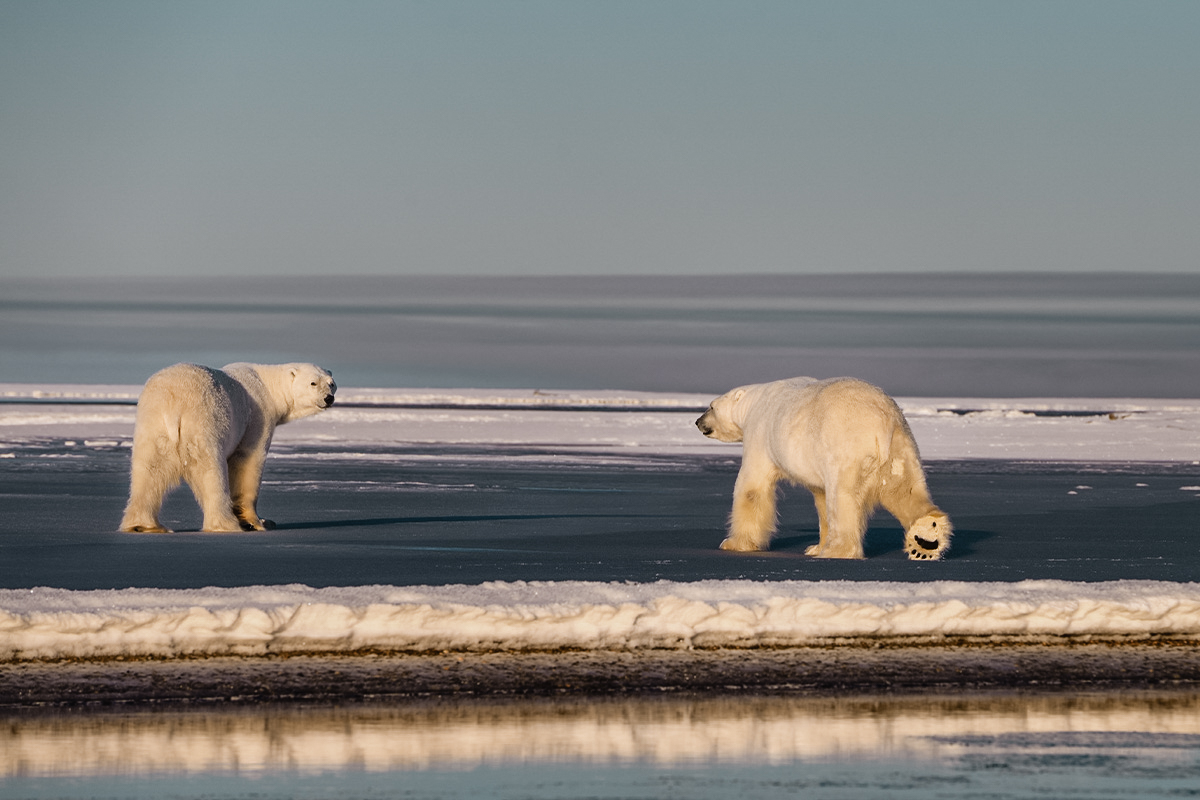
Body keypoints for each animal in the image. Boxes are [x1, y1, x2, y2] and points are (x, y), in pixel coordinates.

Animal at [120, 362, 336, 532]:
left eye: (331, 383)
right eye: (313, 383)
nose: (329, 398)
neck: (267, 385)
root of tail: (174, 406)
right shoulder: (256, 418)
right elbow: (248, 460)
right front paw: (255, 522)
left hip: (153, 424)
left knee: (148, 471)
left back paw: (144, 525)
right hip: (203, 421)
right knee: (211, 471)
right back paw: (226, 524)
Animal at [700, 379, 950, 561]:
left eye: (711, 406)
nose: (698, 421)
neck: (752, 403)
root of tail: (882, 421)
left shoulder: (760, 435)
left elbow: (752, 488)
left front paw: (733, 543)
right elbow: (820, 498)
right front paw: (814, 546)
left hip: (846, 452)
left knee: (843, 499)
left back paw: (836, 550)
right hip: (901, 447)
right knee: (904, 490)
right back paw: (926, 539)